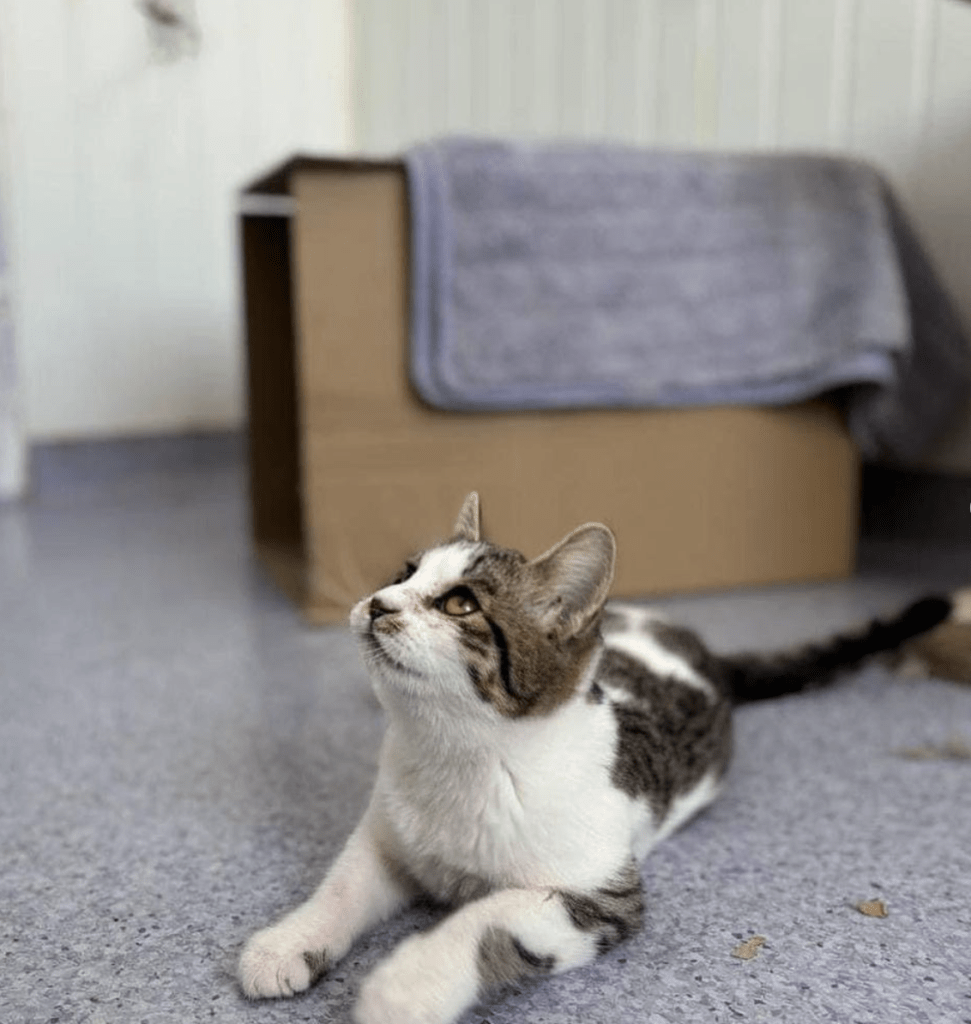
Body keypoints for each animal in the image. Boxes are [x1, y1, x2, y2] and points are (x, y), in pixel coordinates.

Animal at [236, 491, 962, 1024]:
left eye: (460, 603)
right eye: (403, 574)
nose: (378, 603)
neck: (455, 753)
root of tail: (699, 647)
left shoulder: (598, 894)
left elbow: (485, 923)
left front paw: (406, 986)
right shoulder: (389, 837)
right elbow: (344, 883)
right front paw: (288, 941)